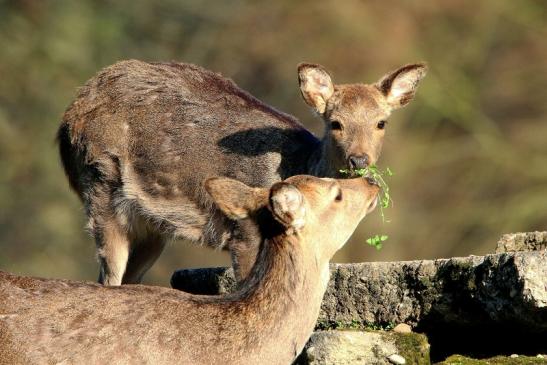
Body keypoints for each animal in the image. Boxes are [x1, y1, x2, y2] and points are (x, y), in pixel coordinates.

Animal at [58, 59, 428, 282]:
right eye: (335, 122)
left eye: (381, 122)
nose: (359, 160)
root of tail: (67, 120)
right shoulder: (244, 232)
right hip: (99, 184)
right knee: (109, 276)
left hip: (152, 226)